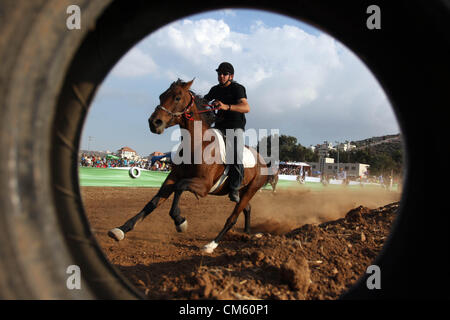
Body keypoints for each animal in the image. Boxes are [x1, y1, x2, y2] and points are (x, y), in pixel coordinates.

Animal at [107, 79, 272, 254]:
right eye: (161, 96)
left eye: (177, 97)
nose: (154, 123)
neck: (198, 144)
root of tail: (264, 161)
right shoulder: (172, 179)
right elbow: (152, 202)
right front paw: (121, 230)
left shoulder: (204, 186)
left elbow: (180, 187)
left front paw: (180, 221)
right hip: (242, 192)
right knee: (247, 208)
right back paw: (247, 233)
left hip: (251, 190)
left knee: (233, 217)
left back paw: (212, 244)